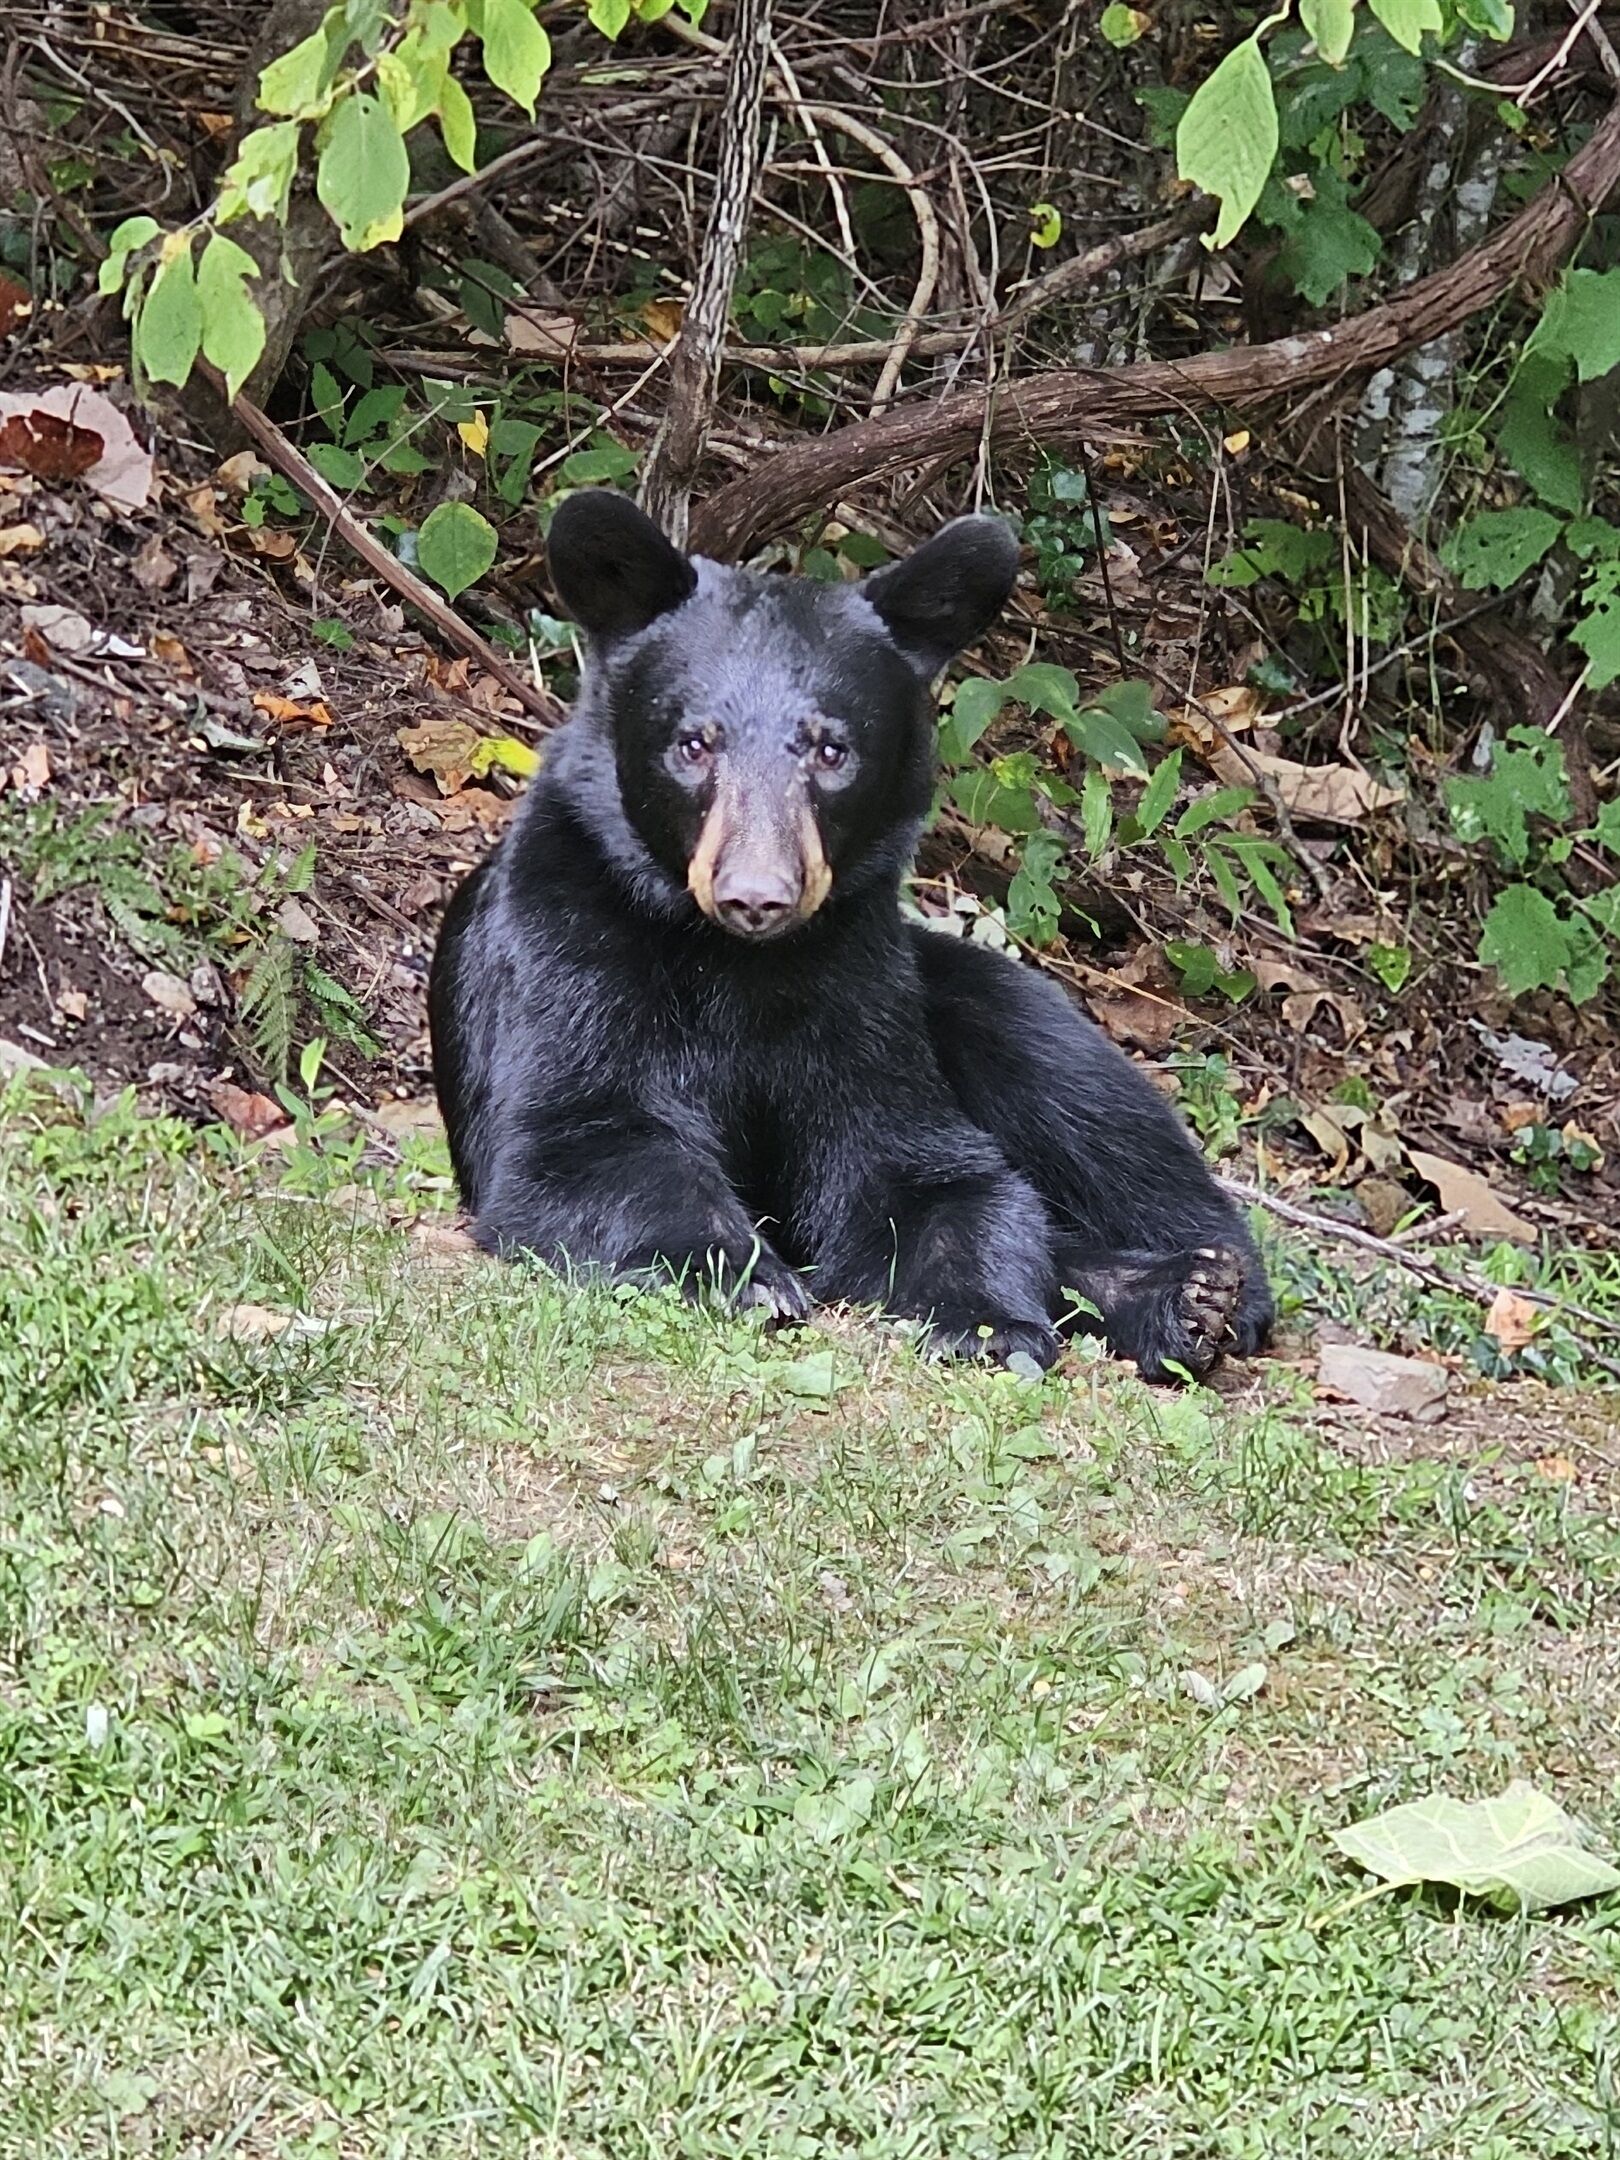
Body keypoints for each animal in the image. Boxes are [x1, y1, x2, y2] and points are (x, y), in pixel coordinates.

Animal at [428, 489, 1274, 1382]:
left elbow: (923, 1170)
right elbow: (583, 1145)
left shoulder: (859, 993)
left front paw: (984, 1318)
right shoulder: (570, 952)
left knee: (1089, 1106)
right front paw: (748, 1277)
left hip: (968, 985)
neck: (737, 964)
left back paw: (1201, 1289)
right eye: (694, 743)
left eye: (832, 750)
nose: (755, 896)